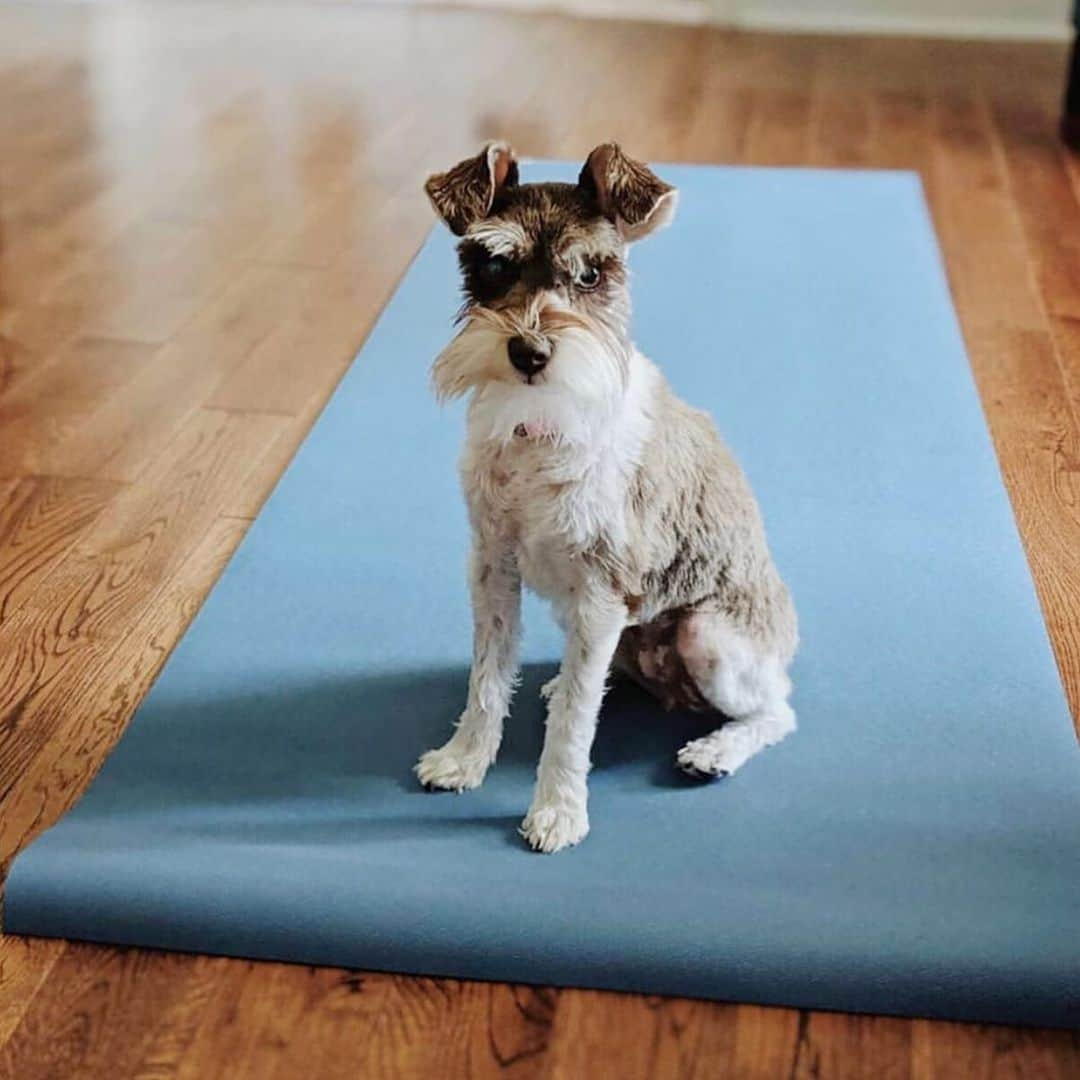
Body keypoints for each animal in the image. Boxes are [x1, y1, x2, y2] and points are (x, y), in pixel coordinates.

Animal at [416, 141, 799, 851]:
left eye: (592, 274)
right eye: (492, 265)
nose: (529, 350)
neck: (540, 427)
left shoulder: (601, 590)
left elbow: (573, 726)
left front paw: (558, 812)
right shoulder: (492, 568)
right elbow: (487, 678)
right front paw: (463, 759)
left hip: (707, 635)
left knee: (777, 709)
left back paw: (714, 751)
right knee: (598, 677)